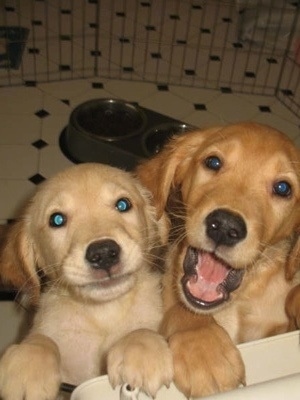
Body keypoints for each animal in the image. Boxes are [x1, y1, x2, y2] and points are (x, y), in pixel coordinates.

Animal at [0, 162, 173, 400]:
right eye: (57, 219)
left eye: (123, 204)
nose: (103, 253)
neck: (103, 311)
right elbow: (41, 339)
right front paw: (29, 364)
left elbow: (143, 331)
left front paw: (143, 352)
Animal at [137, 123, 300, 398]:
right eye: (213, 162)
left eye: (283, 188)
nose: (224, 226)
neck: (235, 304)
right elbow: (181, 310)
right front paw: (203, 349)